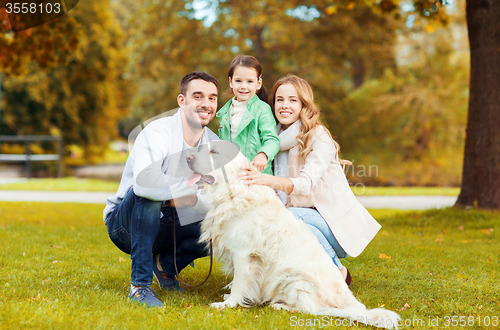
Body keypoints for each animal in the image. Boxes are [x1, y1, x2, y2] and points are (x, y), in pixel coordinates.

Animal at [186, 141, 400, 328]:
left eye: (214, 152)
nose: (187, 157)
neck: (234, 193)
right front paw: (230, 296)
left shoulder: (243, 254)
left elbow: (239, 282)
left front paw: (228, 304)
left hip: (293, 279)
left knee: (312, 310)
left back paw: (280, 306)